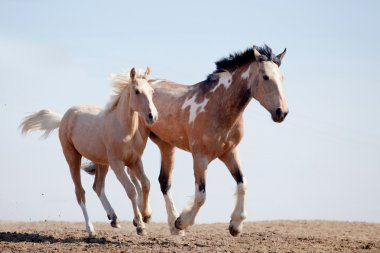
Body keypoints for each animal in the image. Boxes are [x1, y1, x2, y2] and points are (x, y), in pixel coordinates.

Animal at [18, 67, 156, 237]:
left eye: (152, 91)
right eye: (137, 91)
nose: (152, 116)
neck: (124, 128)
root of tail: (63, 118)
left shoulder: (134, 160)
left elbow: (146, 184)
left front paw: (145, 216)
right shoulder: (117, 164)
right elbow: (130, 189)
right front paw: (140, 226)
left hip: (102, 162)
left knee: (97, 187)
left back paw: (114, 218)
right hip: (73, 158)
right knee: (80, 192)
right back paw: (90, 228)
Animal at [147, 45, 290, 235]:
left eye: (282, 77)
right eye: (265, 76)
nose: (282, 112)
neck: (217, 106)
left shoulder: (229, 152)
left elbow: (243, 183)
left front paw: (236, 225)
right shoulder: (199, 157)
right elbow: (201, 195)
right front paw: (183, 222)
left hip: (166, 145)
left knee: (164, 182)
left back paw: (172, 226)